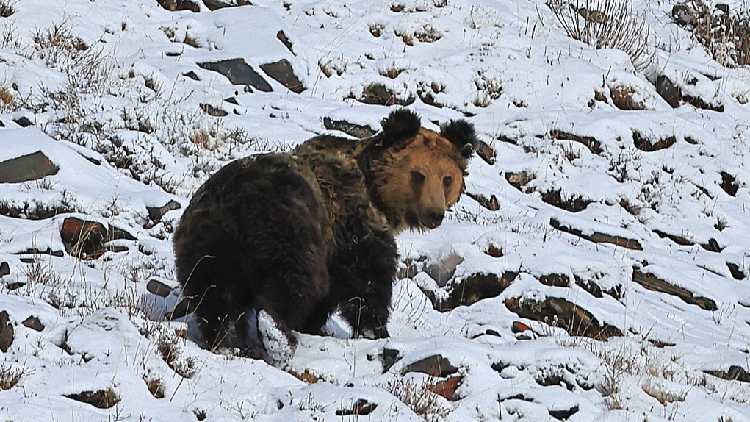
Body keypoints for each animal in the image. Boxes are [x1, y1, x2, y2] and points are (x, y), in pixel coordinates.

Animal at [173, 109, 478, 362]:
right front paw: (376, 330)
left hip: (207, 243)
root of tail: (233, 207)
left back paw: (222, 339)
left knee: (212, 294)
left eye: (447, 179)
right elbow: (368, 280)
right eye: (418, 175)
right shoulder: (349, 223)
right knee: (294, 282)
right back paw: (277, 334)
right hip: (287, 228)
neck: (376, 195)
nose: (434, 213)